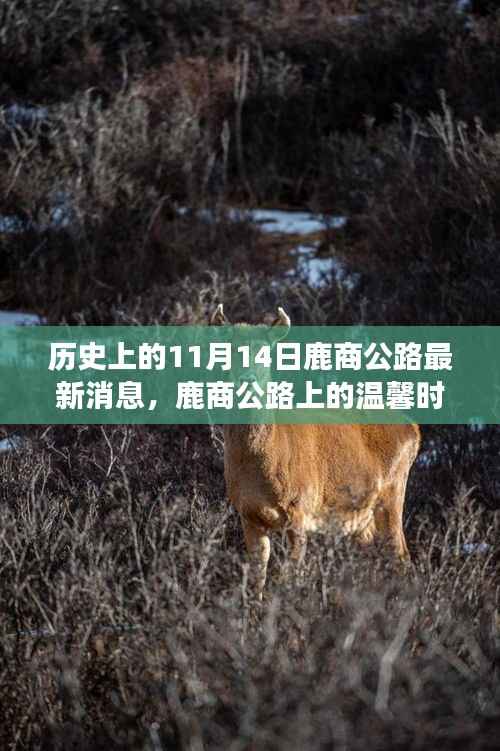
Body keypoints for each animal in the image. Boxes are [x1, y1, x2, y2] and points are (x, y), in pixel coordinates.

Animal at [211, 304, 421, 600]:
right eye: (227, 350)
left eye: (264, 352)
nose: (247, 380)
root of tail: (415, 429)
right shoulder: (248, 514)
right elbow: (256, 580)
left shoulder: (300, 507)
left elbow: (288, 578)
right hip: (361, 516)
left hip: (393, 491)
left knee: (401, 556)